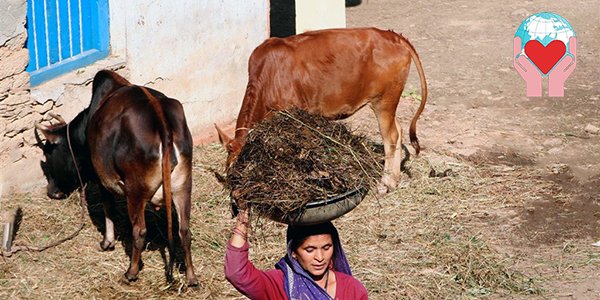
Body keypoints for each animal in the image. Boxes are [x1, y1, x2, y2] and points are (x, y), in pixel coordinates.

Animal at [35, 69, 198, 284]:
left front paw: (107, 242)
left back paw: (131, 273)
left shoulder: (101, 178)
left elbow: (108, 208)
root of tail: (161, 120)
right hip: (183, 187)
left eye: (48, 152)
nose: (52, 192)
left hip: (135, 191)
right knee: (184, 231)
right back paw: (191, 277)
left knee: (140, 231)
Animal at [216, 27, 426, 192]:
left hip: (383, 101)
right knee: (398, 129)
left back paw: (387, 183)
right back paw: (395, 179)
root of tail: (391, 35)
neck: (268, 77)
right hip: (388, 102)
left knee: (390, 137)